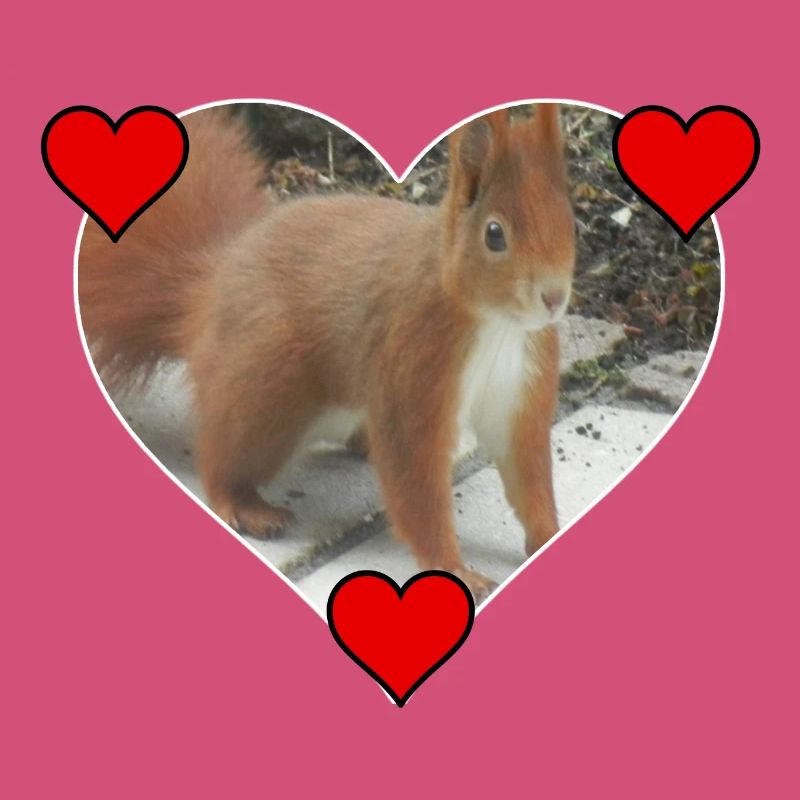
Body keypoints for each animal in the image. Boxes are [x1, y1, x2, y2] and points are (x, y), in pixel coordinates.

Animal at [78, 104, 575, 599]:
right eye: (495, 235)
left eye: (568, 221)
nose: (554, 298)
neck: (498, 324)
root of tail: (209, 288)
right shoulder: (412, 356)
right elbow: (413, 471)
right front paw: (454, 567)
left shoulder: (522, 386)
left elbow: (527, 470)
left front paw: (547, 535)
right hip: (266, 387)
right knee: (223, 457)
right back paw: (245, 504)